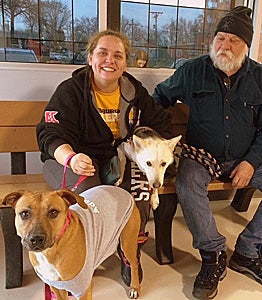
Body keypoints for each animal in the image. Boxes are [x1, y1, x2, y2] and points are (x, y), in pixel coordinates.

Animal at [0, 185, 141, 300]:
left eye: (53, 212)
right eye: (24, 213)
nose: (36, 238)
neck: (50, 252)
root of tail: (121, 189)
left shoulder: (82, 291)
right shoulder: (56, 287)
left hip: (128, 242)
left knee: (134, 263)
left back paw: (135, 287)